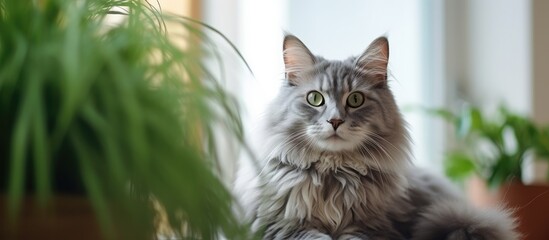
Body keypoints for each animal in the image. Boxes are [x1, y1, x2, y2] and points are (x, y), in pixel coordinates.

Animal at [233, 34, 516, 239]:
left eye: (356, 100)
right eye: (315, 98)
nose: (335, 121)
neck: (334, 173)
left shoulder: (374, 227)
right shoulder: (277, 226)